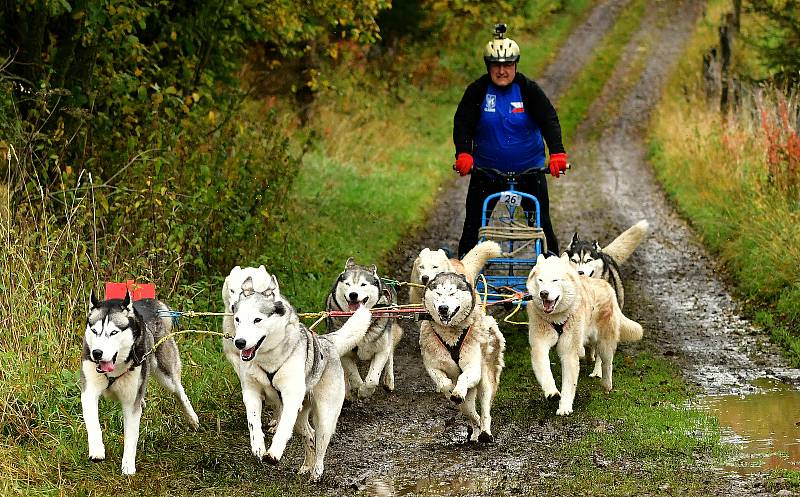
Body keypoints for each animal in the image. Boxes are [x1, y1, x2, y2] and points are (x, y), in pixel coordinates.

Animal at [80, 290, 199, 472]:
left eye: (113, 332)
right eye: (94, 330)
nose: (97, 353)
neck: (116, 368)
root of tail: (149, 303)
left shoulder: (131, 403)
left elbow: (131, 436)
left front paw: (128, 466)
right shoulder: (89, 391)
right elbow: (93, 423)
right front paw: (97, 449)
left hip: (166, 376)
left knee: (179, 391)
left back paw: (192, 418)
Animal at [230, 274, 370, 478]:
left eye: (257, 320)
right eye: (238, 319)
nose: (239, 342)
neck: (268, 359)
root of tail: (327, 342)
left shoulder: (291, 397)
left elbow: (283, 428)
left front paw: (274, 452)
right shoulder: (251, 392)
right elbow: (253, 422)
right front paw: (258, 446)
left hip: (325, 416)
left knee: (320, 442)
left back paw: (317, 471)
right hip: (301, 417)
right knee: (309, 435)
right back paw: (307, 465)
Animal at [324, 258, 404, 398]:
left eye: (363, 284)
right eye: (348, 284)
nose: (353, 294)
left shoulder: (381, 350)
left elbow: (372, 379)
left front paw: (365, 391)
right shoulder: (345, 354)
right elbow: (353, 375)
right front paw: (357, 388)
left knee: (390, 355)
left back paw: (389, 380)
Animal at [418, 272, 506, 442]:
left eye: (452, 293)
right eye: (438, 293)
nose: (443, 308)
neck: (451, 335)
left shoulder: (472, 367)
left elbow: (464, 377)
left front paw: (457, 391)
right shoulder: (433, 367)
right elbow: (444, 383)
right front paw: (450, 389)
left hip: (485, 378)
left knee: (484, 409)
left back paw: (485, 432)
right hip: (468, 400)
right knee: (470, 413)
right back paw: (475, 429)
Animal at [524, 256, 644, 414]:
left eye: (555, 280)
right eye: (540, 280)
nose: (543, 293)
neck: (557, 318)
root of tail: (607, 286)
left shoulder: (568, 351)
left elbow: (569, 383)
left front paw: (565, 406)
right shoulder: (540, 345)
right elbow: (545, 371)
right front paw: (552, 392)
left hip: (604, 343)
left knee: (606, 362)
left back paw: (604, 381)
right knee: (590, 350)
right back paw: (588, 358)